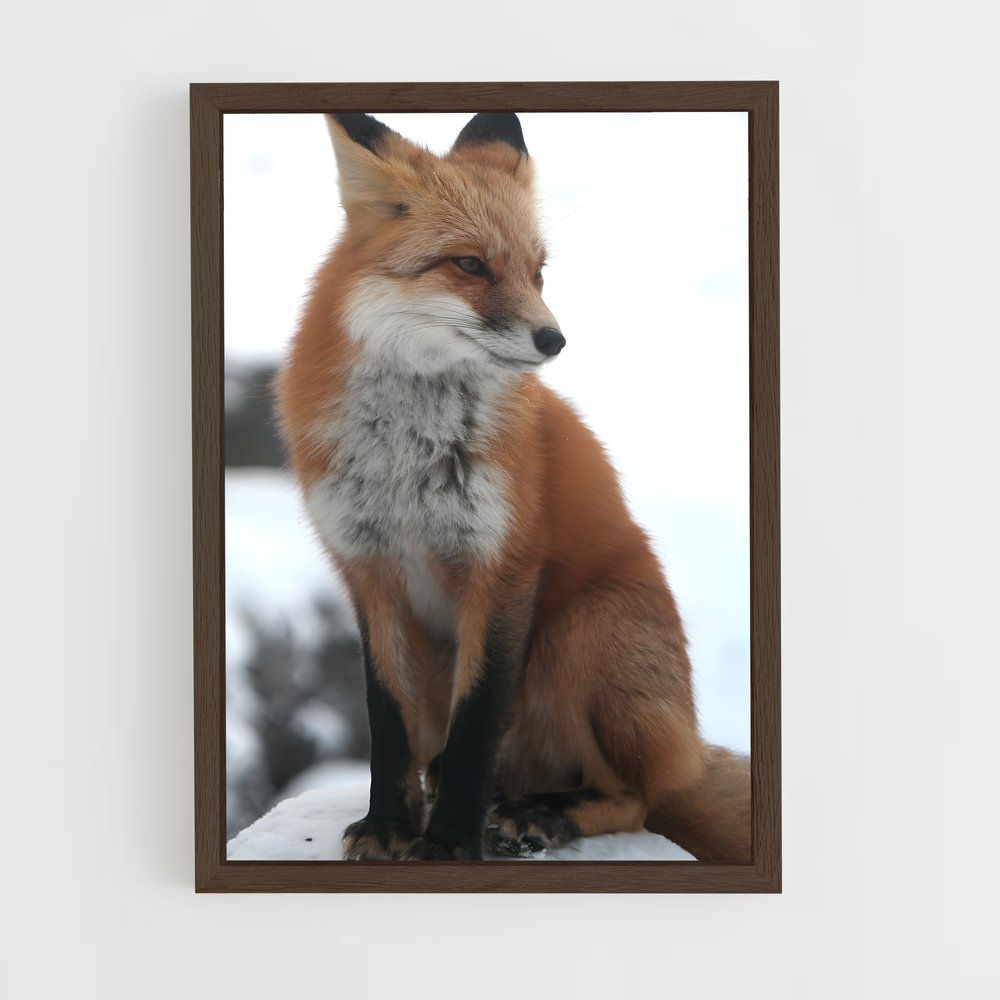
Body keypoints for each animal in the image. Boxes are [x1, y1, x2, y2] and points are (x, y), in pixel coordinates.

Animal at [275, 111, 751, 862]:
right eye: (470, 264)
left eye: (539, 272)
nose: (554, 340)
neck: (408, 459)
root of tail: (689, 750)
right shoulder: (369, 571)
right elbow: (388, 723)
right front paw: (391, 825)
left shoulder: (502, 568)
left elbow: (476, 726)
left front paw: (446, 845)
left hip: (581, 631)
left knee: (635, 797)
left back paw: (541, 814)